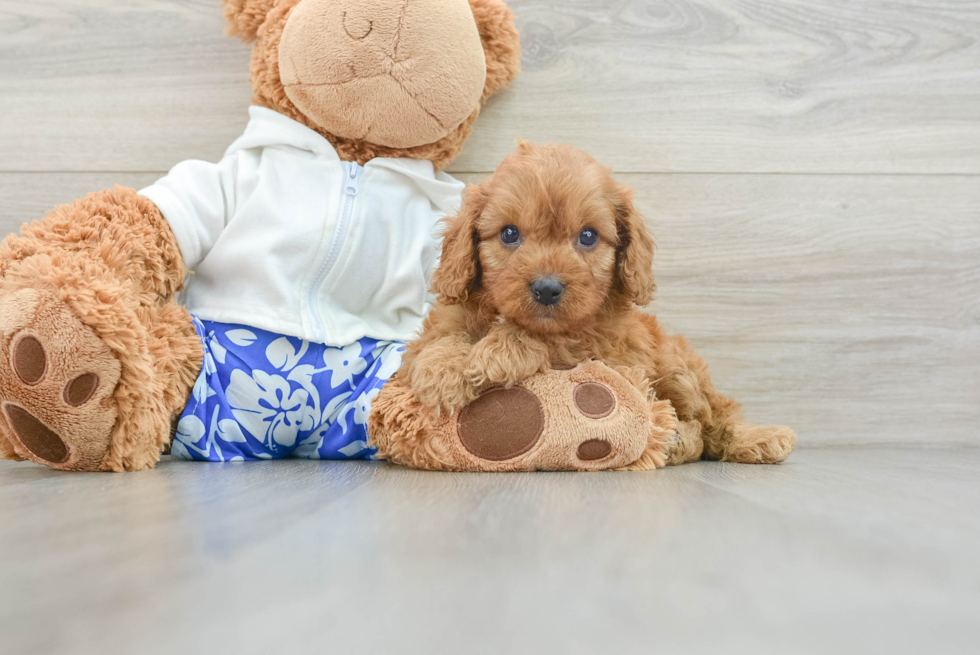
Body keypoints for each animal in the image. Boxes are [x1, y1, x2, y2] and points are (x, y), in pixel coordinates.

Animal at [398, 142, 796, 466]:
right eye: (509, 233)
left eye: (588, 236)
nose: (547, 289)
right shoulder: (444, 319)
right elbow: (437, 340)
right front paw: (443, 372)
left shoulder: (599, 346)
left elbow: (555, 339)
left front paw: (500, 350)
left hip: (678, 368)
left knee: (711, 421)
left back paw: (735, 439)